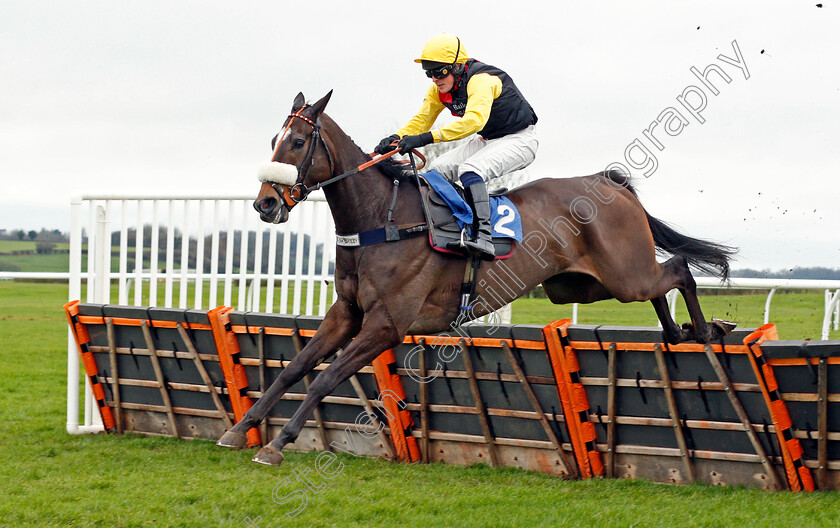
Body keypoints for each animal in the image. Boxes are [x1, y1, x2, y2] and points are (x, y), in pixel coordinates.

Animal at [218, 92, 736, 466]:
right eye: (273, 139)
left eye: (297, 143)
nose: (265, 203)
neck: (380, 221)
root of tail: (608, 181)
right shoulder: (346, 314)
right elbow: (294, 368)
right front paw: (240, 429)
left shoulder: (387, 324)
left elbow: (326, 378)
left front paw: (277, 443)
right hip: (581, 285)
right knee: (660, 287)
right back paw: (680, 332)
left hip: (624, 274)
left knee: (677, 269)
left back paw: (707, 328)